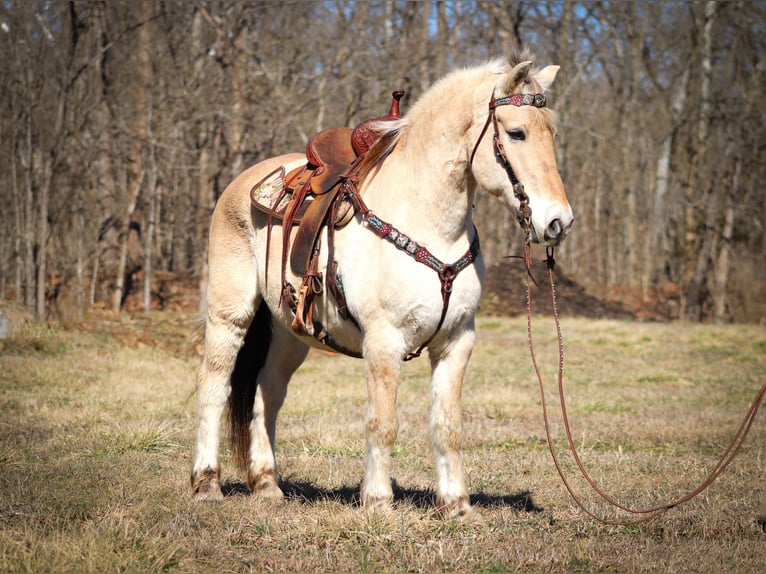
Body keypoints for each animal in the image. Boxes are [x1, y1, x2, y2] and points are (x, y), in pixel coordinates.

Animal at [192, 51, 576, 520]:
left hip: (289, 333)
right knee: (214, 386)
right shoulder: (383, 340)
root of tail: (242, 182)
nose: (558, 221)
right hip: (231, 315)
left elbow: (448, 425)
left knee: (268, 395)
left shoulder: (457, 341)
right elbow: (383, 423)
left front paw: (457, 505)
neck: (428, 220)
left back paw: (267, 485)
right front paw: (377, 500)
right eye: (517, 132)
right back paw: (206, 484)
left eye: (551, 133)